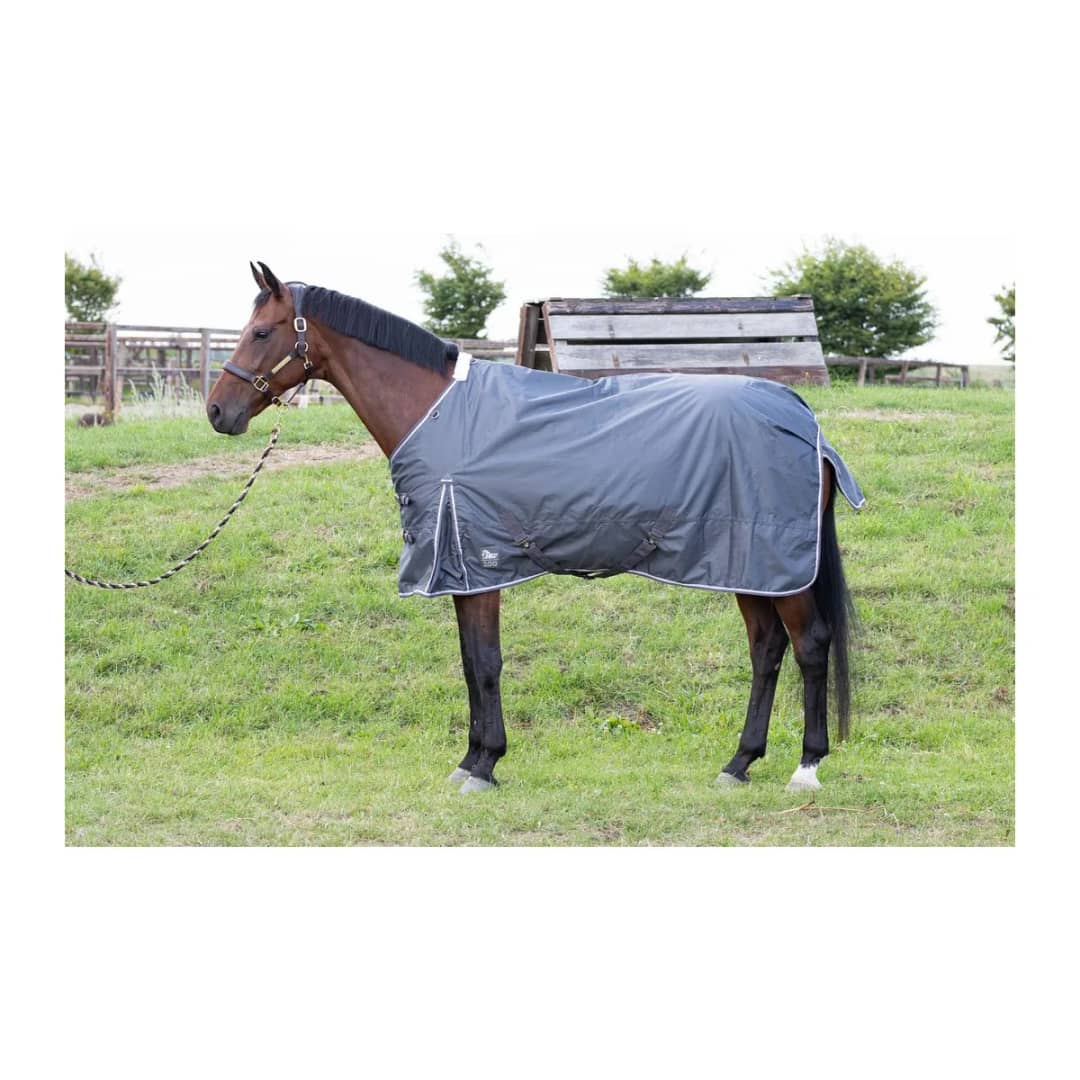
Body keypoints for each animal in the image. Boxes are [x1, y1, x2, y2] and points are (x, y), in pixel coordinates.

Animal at [207, 261, 863, 795]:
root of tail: (802, 417)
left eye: (261, 332)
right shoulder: (464, 569)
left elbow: (486, 663)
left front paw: (485, 765)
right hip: (747, 565)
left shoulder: (478, 563)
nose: (218, 411)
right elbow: (470, 661)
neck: (440, 413)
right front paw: (471, 761)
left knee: (809, 646)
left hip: (776, 564)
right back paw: (739, 763)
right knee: (766, 649)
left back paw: (806, 767)